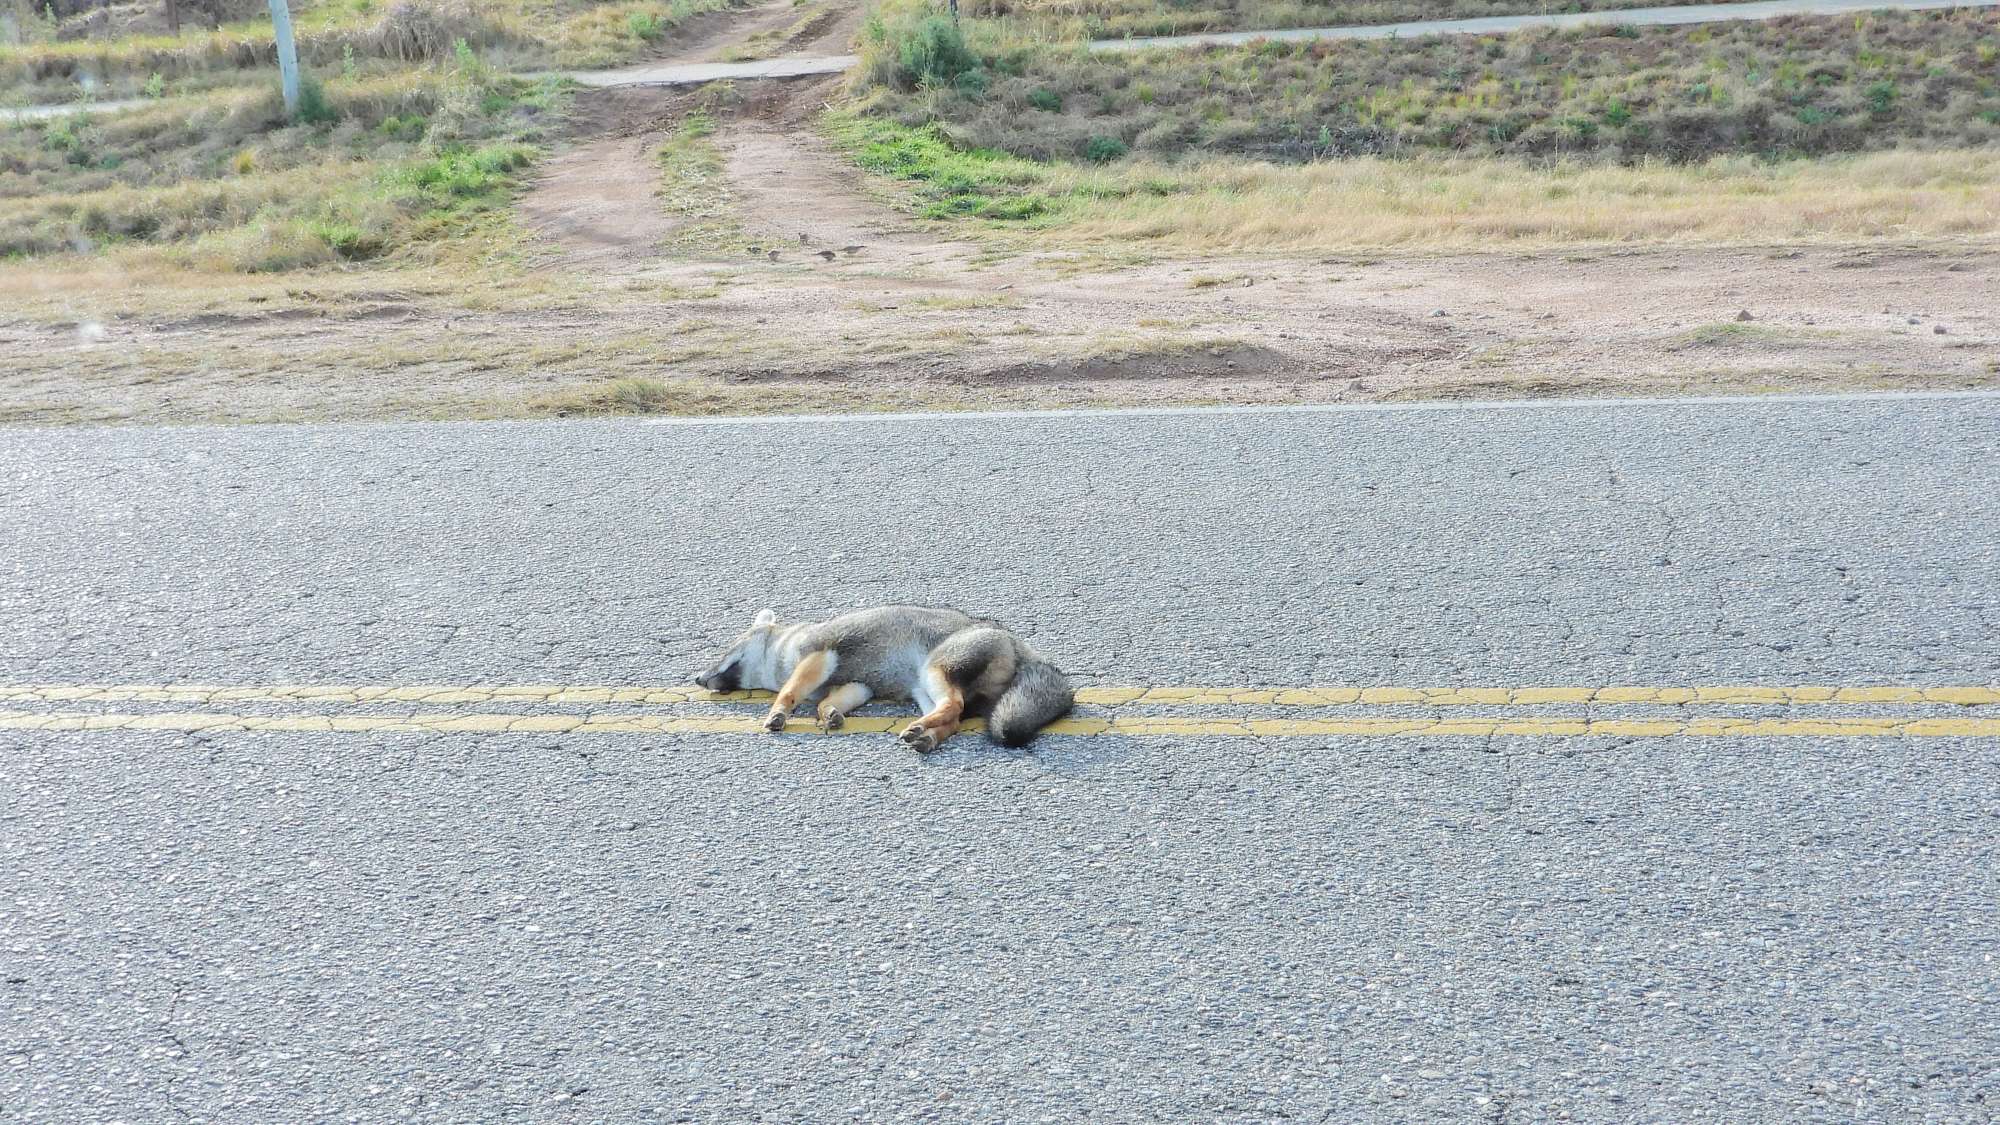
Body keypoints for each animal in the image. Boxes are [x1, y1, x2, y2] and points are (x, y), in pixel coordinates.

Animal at [694, 605, 1075, 751]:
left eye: (724, 650)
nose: (698, 679)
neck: (786, 651)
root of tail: (1016, 641)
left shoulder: (819, 655)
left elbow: (788, 693)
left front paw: (777, 714)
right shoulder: (856, 687)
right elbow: (824, 705)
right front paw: (830, 716)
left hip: (933, 672)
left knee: (954, 706)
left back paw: (921, 731)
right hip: (924, 690)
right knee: (953, 719)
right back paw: (925, 736)